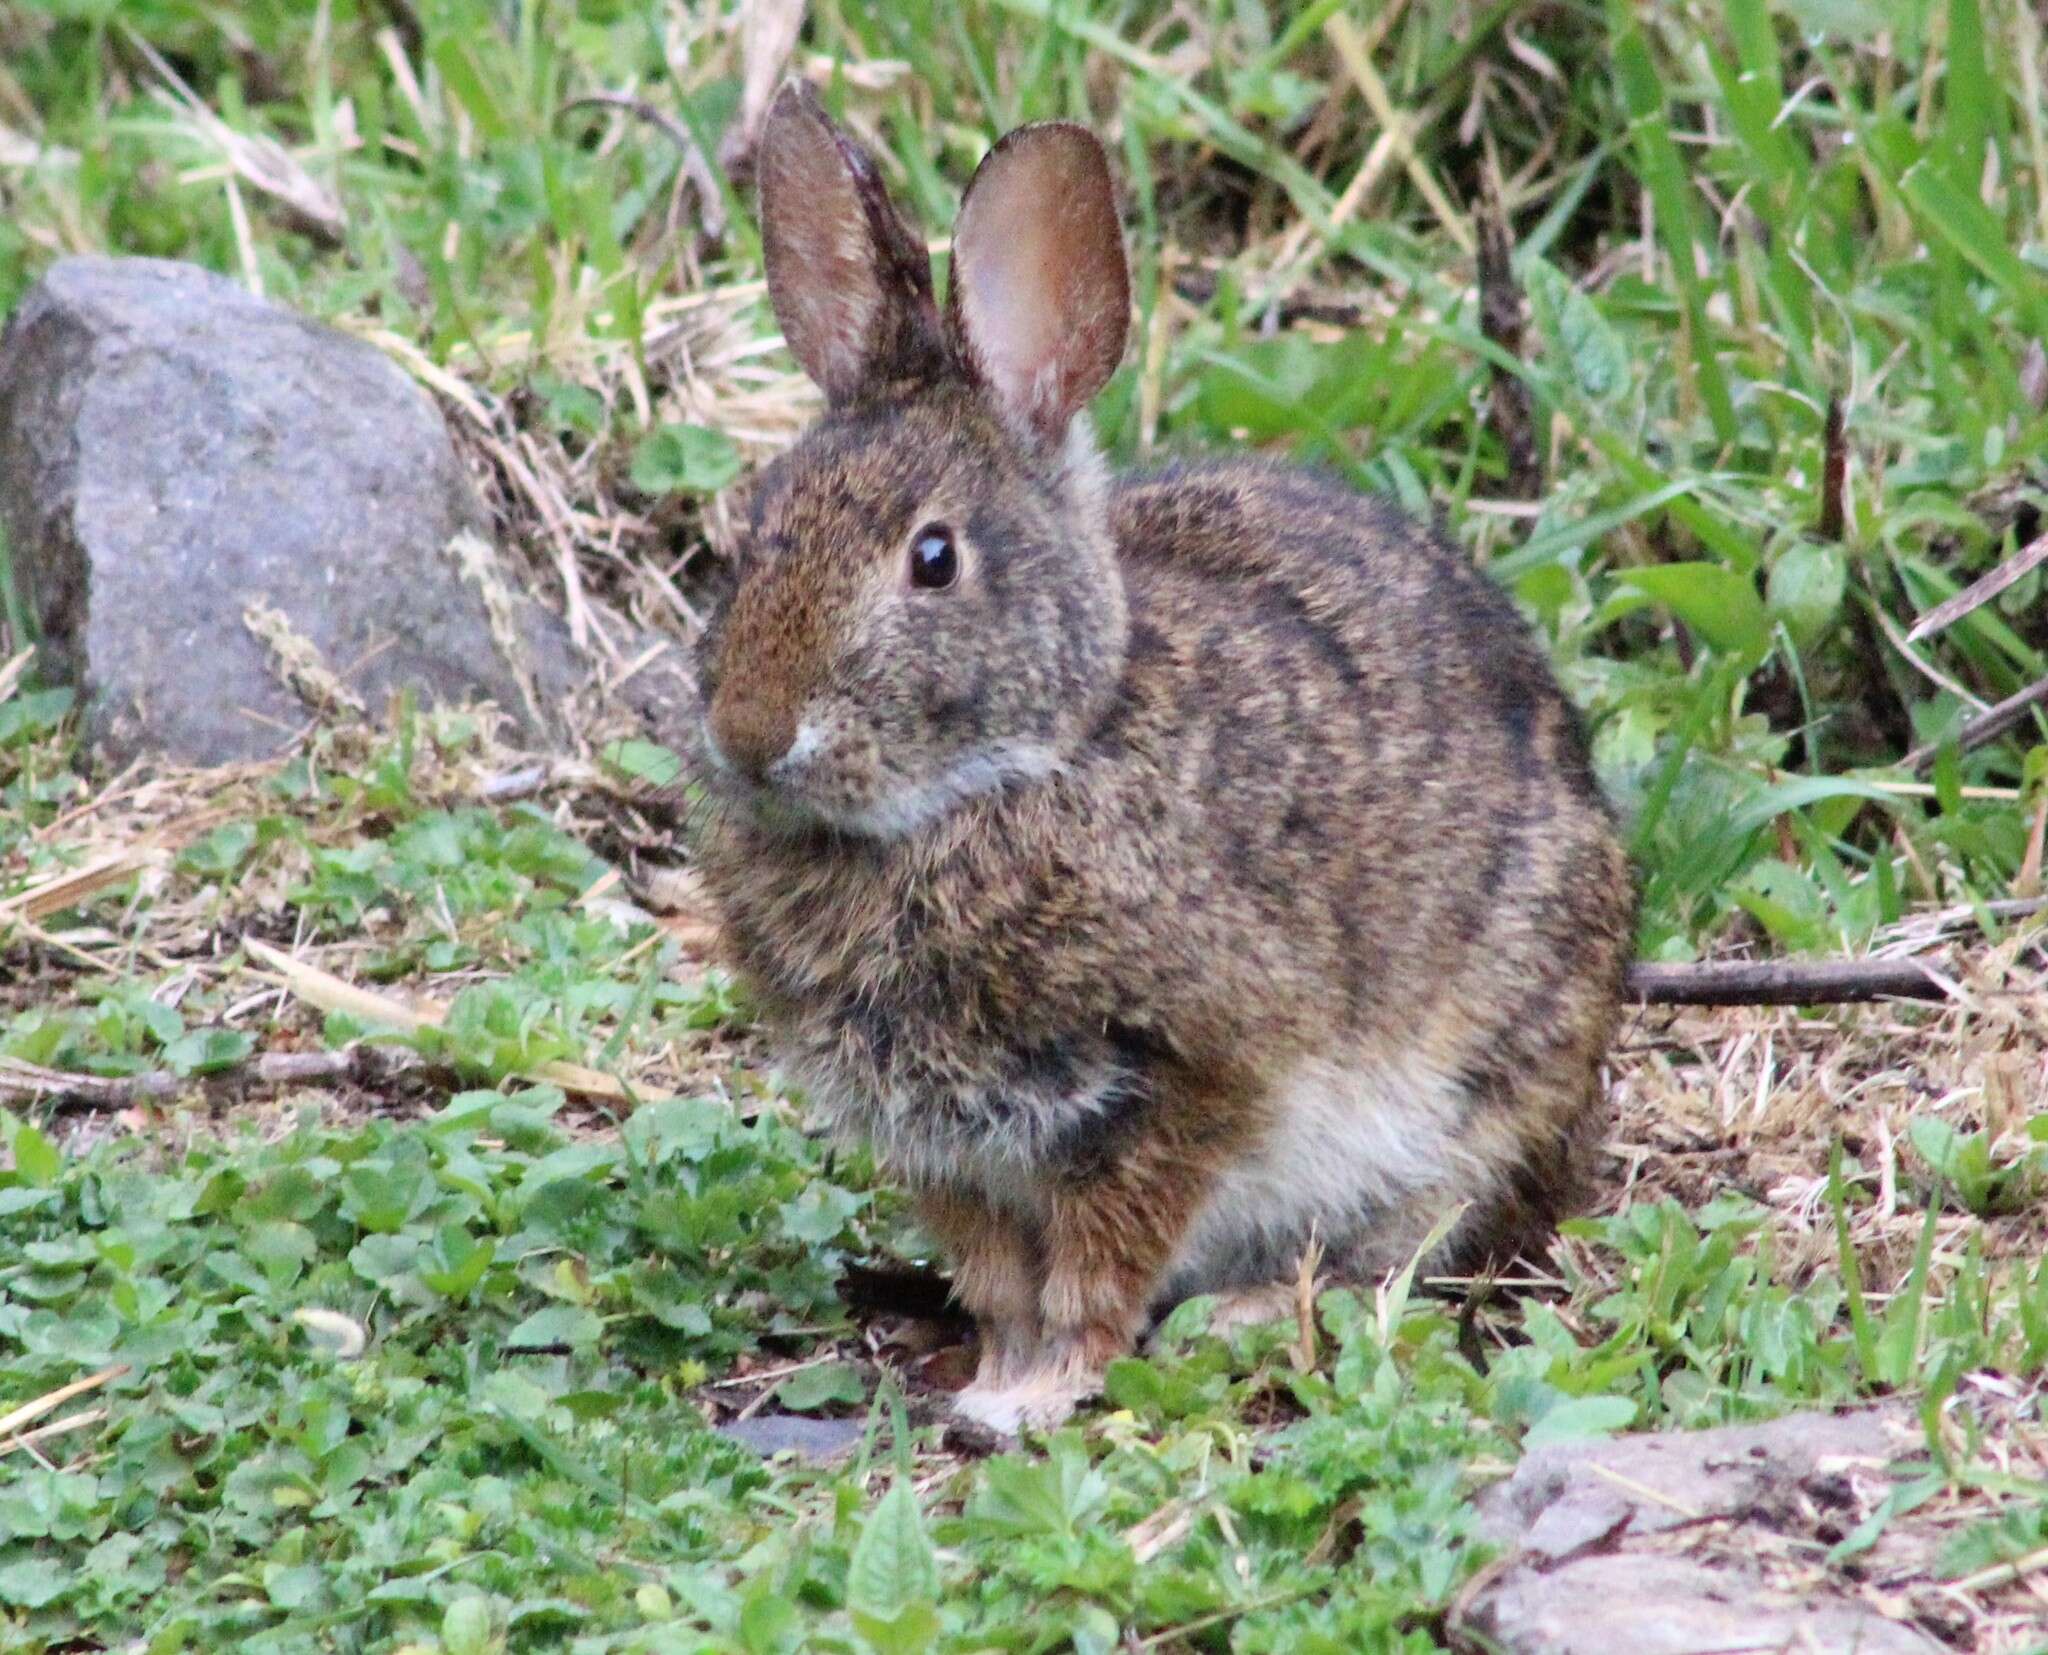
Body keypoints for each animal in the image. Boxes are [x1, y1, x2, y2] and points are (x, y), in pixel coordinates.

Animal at [688, 83, 1630, 1433]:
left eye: (933, 558)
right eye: (748, 535)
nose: (752, 735)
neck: (1009, 776)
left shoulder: (1181, 1084)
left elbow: (1102, 1263)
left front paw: (1037, 1396)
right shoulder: (943, 1148)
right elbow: (998, 1278)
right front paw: (994, 1375)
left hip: (1485, 1085)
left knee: (1413, 1246)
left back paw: (1248, 1311)